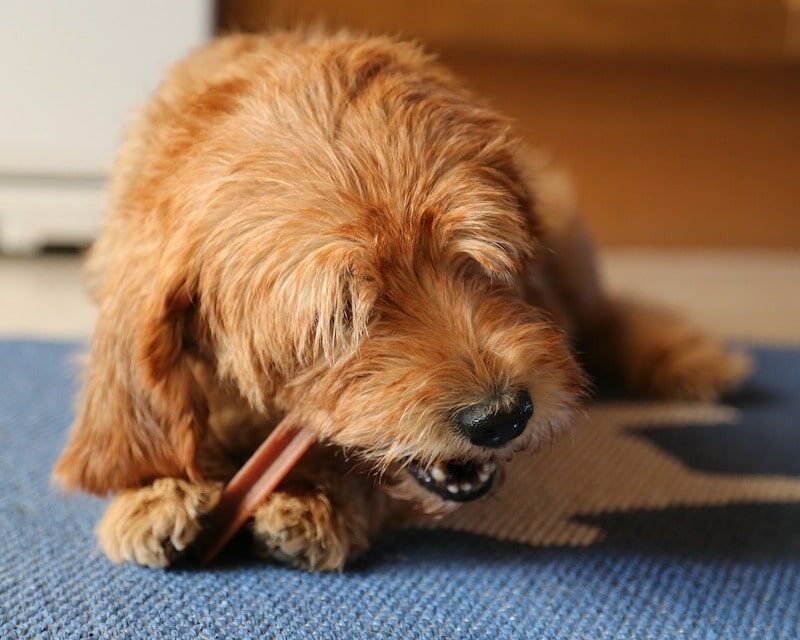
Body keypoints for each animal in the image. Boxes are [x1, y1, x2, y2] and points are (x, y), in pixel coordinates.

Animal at [53, 30, 748, 568]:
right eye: (340, 315)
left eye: (479, 259)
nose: (502, 417)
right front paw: (154, 492)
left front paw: (318, 499)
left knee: (603, 315)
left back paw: (688, 357)